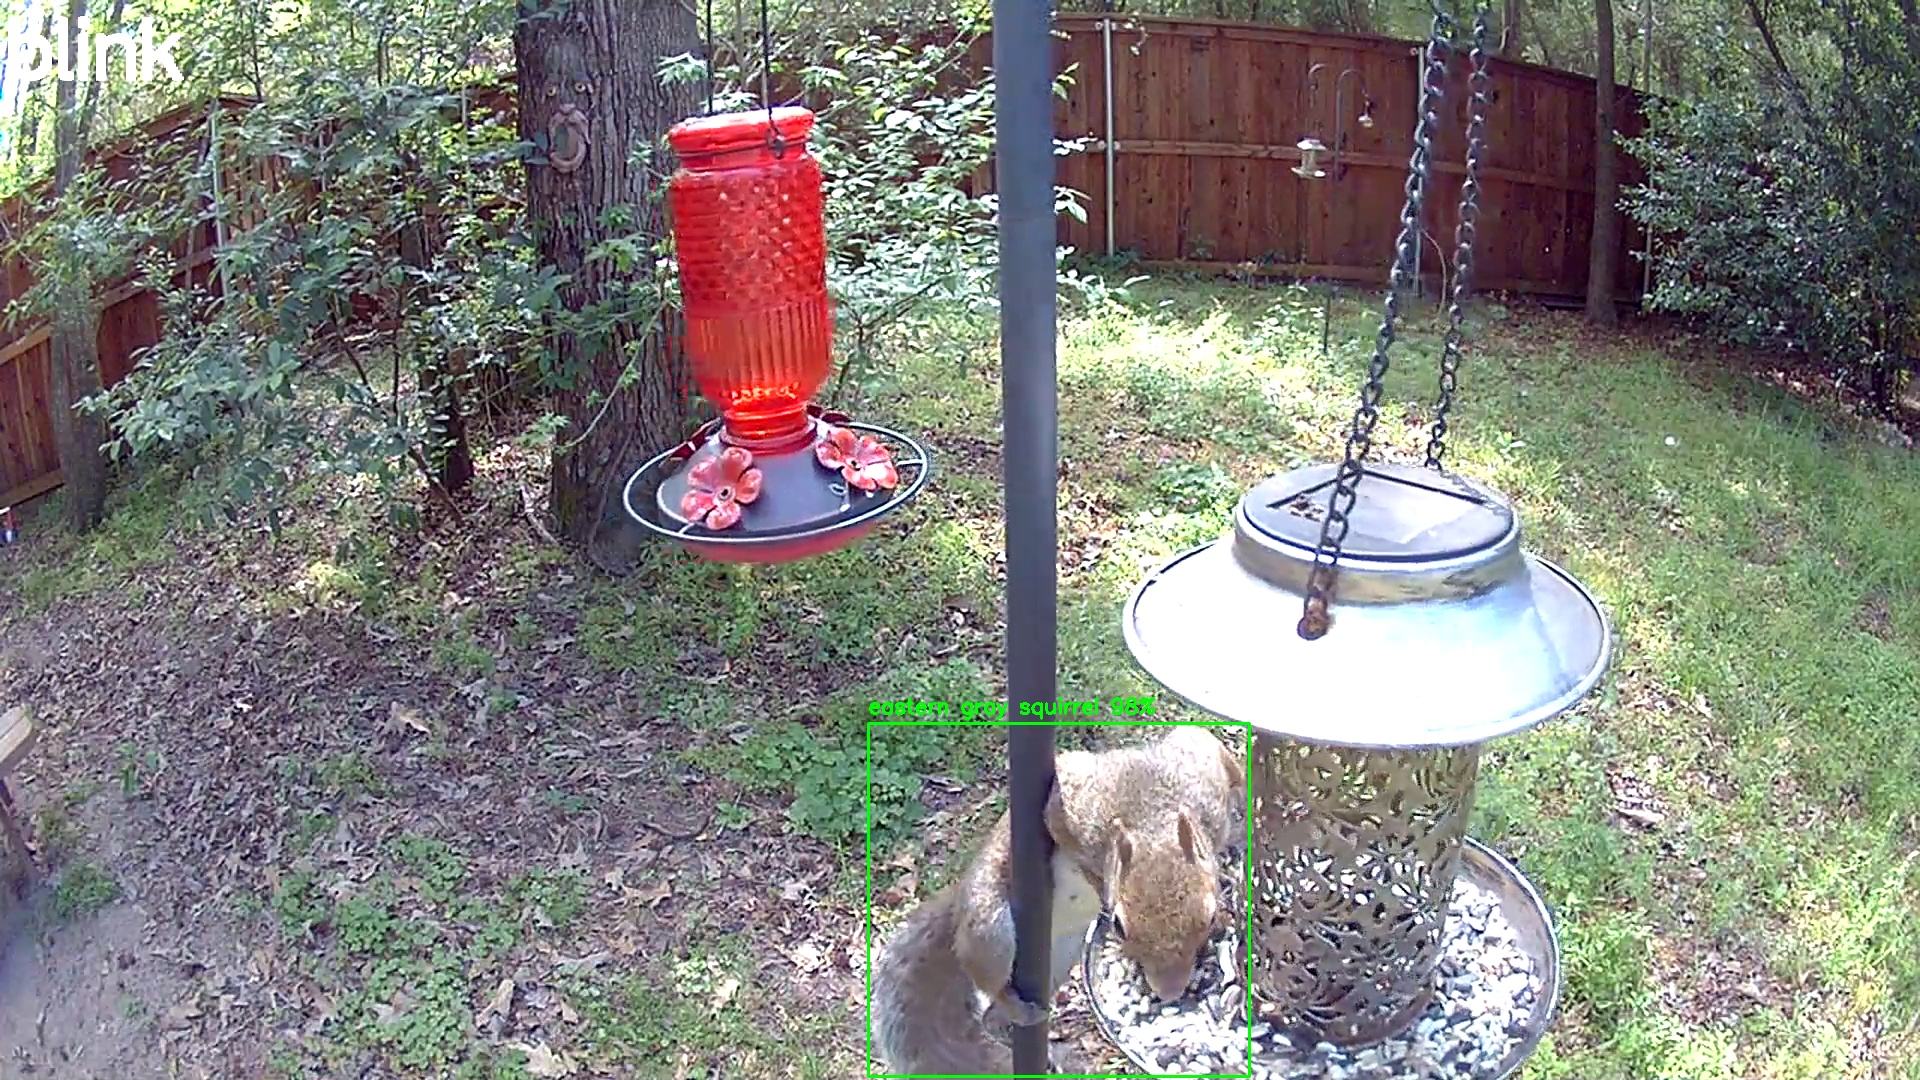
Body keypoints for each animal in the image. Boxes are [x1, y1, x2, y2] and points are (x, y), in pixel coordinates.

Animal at [869, 724, 1244, 1075]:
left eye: (1210, 917)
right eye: (1119, 927)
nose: (1169, 992)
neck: (1150, 820)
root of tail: (959, 902)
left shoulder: (1204, 779)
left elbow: (1213, 748)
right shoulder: (1074, 807)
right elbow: (1057, 817)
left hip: (1061, 955)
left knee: (993, 1019)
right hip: (990, 928)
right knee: (986, 973)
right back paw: (1017, 1008)